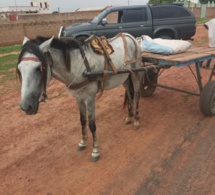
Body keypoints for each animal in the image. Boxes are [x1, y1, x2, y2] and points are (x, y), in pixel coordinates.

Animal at [16, 33, 144, 161]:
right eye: (19, 69)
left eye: (39, 68)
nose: (26, 106)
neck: (78, 66)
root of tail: (130, 36)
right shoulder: (79, 98)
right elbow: (82, 120)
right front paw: (83, 142)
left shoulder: (90, 98)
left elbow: (92, 124)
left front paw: (95, 150)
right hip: (125, 77)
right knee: (130, 94)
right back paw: (129, 117)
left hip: (136, 74)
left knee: (137, 95)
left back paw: (136, 120)